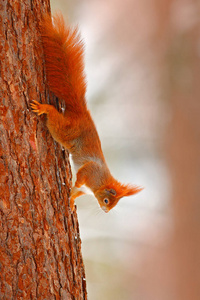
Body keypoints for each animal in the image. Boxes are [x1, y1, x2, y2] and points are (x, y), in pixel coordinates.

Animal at [30, 12, 142, 212]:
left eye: (112, 205)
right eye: (107, 201)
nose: (105, 211)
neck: (101, 182)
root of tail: (82, 113)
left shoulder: (86, 190)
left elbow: (77, 193)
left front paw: (71, 200)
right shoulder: (90, 172)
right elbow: (81, 176)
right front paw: (74, 183)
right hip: (66, 131)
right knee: (54, 120)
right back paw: (44, 108)